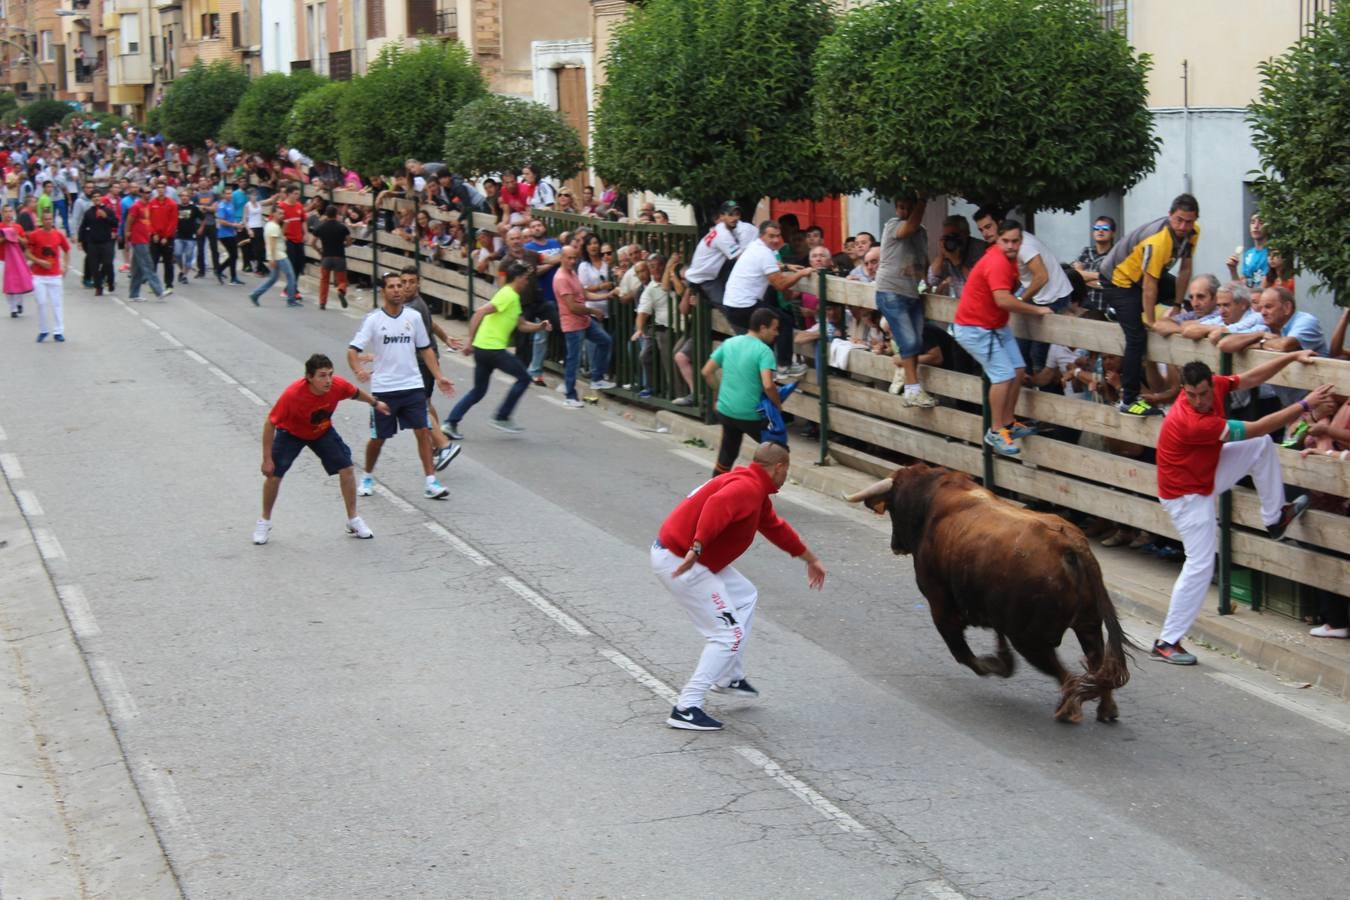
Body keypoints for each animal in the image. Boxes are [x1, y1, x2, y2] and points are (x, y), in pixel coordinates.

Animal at [847, 464, 1134, 723]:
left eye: (893, 507)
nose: (895, 544)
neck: (930, 502)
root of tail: (1072, 546)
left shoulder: (940, 606)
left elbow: (962, 654)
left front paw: (995, 665)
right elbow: (994, 637)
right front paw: (1002, 660)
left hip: (1030, 638)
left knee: (1068, 675)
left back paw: (1069, 710)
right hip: (1087, 624)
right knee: (1097, 662)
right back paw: (1106, 710)